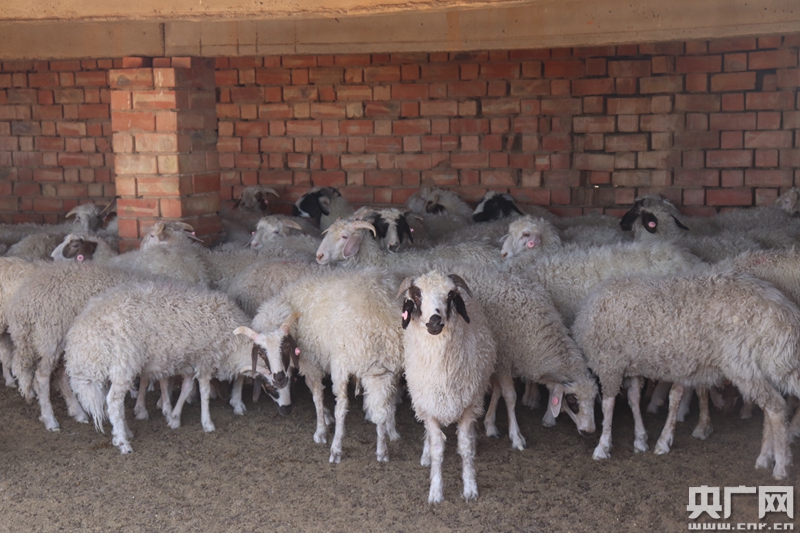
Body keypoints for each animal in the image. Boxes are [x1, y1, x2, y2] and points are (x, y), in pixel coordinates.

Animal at [396, 270, 496, 502]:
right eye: (417, 295)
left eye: (450, 294)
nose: (435, 320)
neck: (442, 370)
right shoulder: (429, 407)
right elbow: (437, 449)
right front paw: (435, 491)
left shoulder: (468, 405)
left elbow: (464, 447)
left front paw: (470, 488)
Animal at [572, 268, 800, 480]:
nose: (585, 431)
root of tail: (781, 311)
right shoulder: (633, 364)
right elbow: (635, 399)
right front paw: (641, 440)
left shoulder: (610, 364)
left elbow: (608, 404)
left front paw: (602, 446)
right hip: (757, 367)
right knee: (771, 407)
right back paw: (765, 459)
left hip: (742, 365)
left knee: (776, 407)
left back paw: (780, 467)